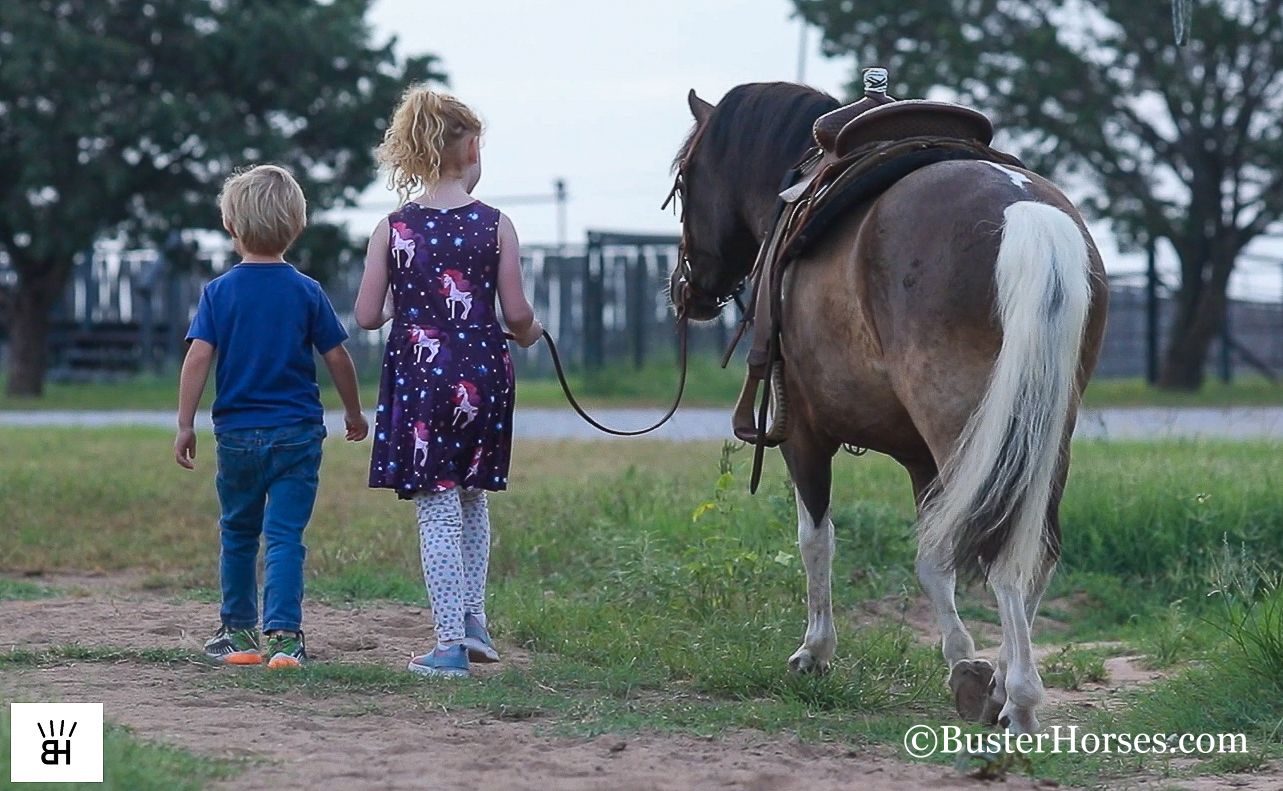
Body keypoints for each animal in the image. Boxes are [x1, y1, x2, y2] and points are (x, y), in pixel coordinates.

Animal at [667, 83, 1108, 734]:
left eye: (685, 180)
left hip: (963, 428)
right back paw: (1009, 682)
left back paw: (1022, 699)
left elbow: (817, 539)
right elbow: (934, 558)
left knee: (1001, 549)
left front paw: (816, 652)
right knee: (1034, 550)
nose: (686, 289)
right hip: (1042, 434)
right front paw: (968, 666)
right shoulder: (921, 458)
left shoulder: (803, 434)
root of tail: (1026, 213)